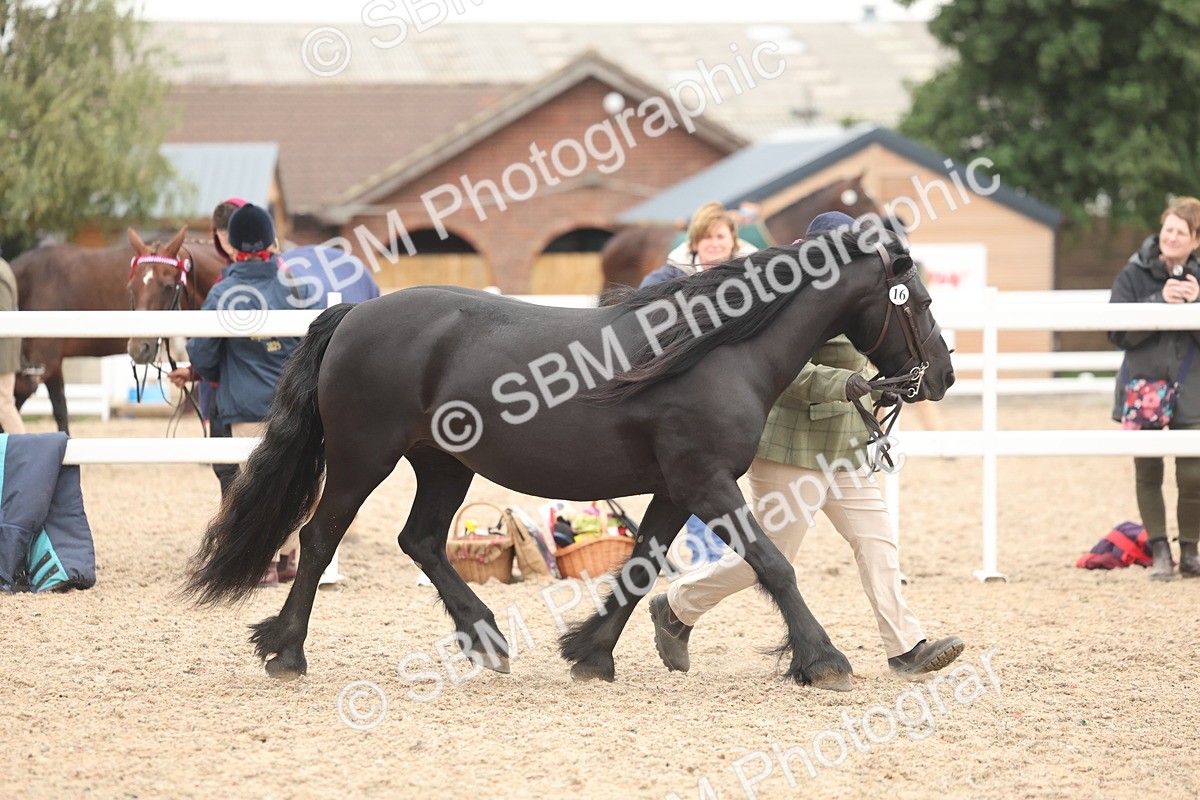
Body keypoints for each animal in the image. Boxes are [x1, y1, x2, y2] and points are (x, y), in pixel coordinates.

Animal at [12, 226, 226, 432]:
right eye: (131, 287)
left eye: (167, 286)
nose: (138, 348)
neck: (32, 283)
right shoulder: (49, 366)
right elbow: (60, 411)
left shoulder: (42, 363)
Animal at [184, 226, 953, 691]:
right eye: (916, 299)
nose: (942, 376)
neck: (716, 351)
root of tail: (354, 316)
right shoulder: (706, 483)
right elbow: (773, 565)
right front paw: (824, 660)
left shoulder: (677, 488)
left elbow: (642, 565)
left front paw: (591, 652)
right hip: (361, 458)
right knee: (319, 539)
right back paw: (286, 650)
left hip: (444, 464)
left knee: (421, 540)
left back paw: (487, 640)